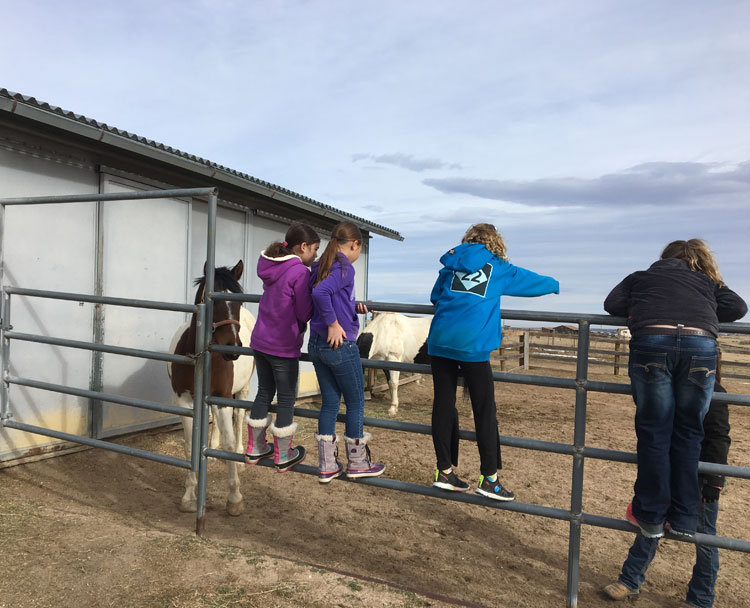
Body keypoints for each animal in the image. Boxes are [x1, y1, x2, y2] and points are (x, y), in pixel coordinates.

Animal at [167, 262, 256, 516]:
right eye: (213, 302)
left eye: (238, 303)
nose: (232, 348)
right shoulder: (185, 400)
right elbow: (189, 446)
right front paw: (189, 496)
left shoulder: (224, 396)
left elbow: (228, 442)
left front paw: (235, 498)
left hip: (243, 390)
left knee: (238, 418)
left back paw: (239, 454)